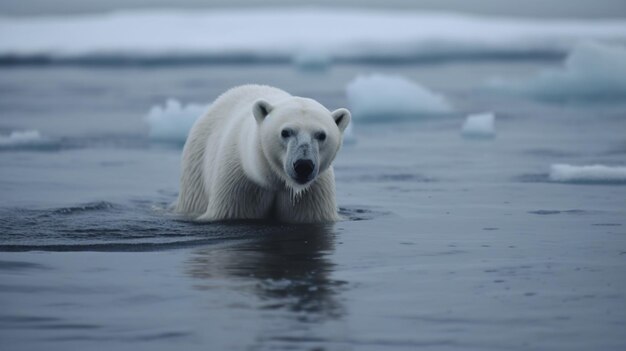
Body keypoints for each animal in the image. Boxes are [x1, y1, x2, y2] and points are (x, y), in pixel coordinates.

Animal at [176, 85, 348, 223]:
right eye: (285, 132)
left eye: (321, 135)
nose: (303, 165)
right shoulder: (238, 184)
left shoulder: (313, 193)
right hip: (196, 172)